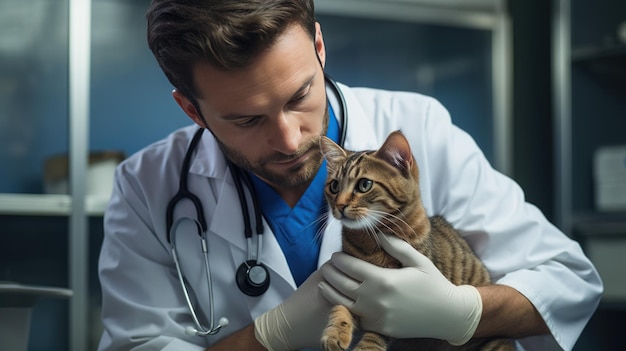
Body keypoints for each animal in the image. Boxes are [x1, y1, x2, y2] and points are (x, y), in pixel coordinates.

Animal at [316, 131, 512, 351]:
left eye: (364, 185)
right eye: (334, 186)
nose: (339, 205)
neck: (372, 238)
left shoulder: (389, 305)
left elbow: (379, 330)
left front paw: (367, 347)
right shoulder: (350, 287)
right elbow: (340, 307)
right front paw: (335, 332)